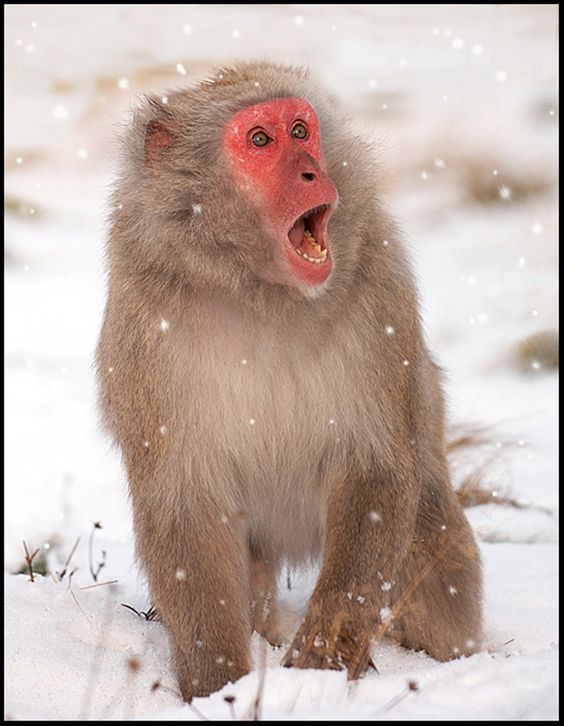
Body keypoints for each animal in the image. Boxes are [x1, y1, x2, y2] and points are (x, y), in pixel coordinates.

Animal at [96, 61, 480, 704]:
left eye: (301, 130)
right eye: (260, 140)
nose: (312, 170)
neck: (261, 293)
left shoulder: (380, 287)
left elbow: (375, 470)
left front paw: (321, 658)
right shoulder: (144, 329)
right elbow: (184, 505)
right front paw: (219, 685)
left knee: (431, 553)